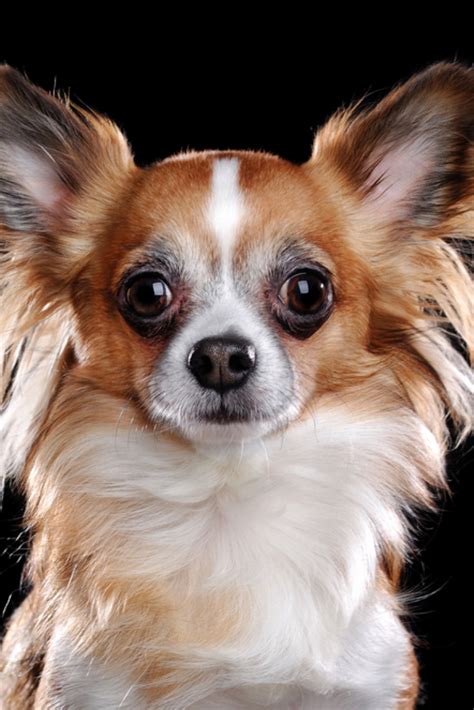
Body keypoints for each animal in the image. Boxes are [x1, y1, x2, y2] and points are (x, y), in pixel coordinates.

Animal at [0, 61, 472, 710]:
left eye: (307, 291)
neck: (228, 493)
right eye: (147, 292)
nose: (221, 356)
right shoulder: (82, 684)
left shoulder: (371, 681)